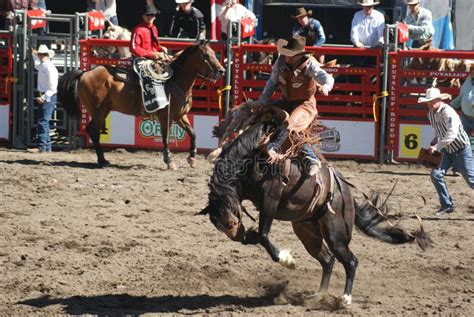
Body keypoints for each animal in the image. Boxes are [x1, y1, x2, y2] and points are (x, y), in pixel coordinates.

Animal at [57, 41, 226, 169]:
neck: (175, 81)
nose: (222, 71)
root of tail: (84, 73)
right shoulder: (165, 117)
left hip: (103, 110)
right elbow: (165, 138)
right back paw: (102, 160)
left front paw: (191, 158)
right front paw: (169, 161)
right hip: (98, 111)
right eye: (205, 56)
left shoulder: (180, 116)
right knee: (93, 131)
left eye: (214, 53)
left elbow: (192, 133)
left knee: (93, 130)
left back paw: (102, 159)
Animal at [198, 117, 432, 304]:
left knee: (351, 261)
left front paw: (287, 260)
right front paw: (251, 237)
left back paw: (345, 299)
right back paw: (319, 295)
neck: (256, 157)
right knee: (328, 260)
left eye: (230, 222)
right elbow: (258, 236)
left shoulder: (270, 200)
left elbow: (264, 235)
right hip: (307, 232)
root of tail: (347, 196)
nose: (237, 234)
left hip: (336, 234)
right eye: (218, 225)